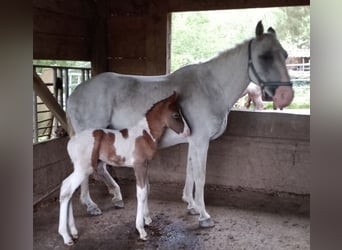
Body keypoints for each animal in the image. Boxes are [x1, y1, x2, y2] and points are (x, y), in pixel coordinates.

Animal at [58, 91, 190, 244]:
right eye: (176, 115)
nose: (188, 131)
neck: (145, 134)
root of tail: (71, 142)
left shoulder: (146, 166)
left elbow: (147, 189)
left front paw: (147, 219)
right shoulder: (139, 166)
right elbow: (141, 193)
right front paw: (141, 230)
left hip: (80, 169)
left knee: (67, 189)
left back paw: (73, 232)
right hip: (83, 169)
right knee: (67, 190)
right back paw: (66, 236)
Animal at [67, 21, 294, 228]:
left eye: (285, 55)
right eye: (264, 56)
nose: (286, 96)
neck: (210, 88)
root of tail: (74, 94)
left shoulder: (193, 141)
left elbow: (190, 171)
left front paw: (192, 205)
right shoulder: (201, 142)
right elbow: (200, 176)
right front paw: (204, 216)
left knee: (100, 167)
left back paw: (115, 196)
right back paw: (91, 205)